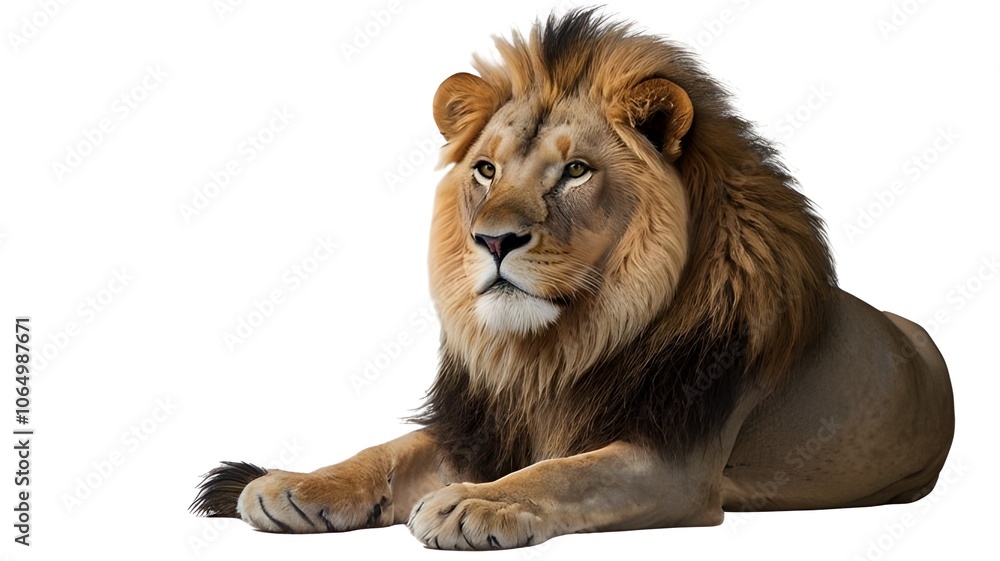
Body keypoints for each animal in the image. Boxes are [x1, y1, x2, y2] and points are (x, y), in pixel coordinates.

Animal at [190, 9, 954, 549]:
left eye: (576, 171)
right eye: (486, 169)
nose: (494, 239)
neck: (558, 348)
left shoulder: (676, 459)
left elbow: (565, 470)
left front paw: (475, 500)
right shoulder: (484, 423)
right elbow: (387, 450)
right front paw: (292, 483)